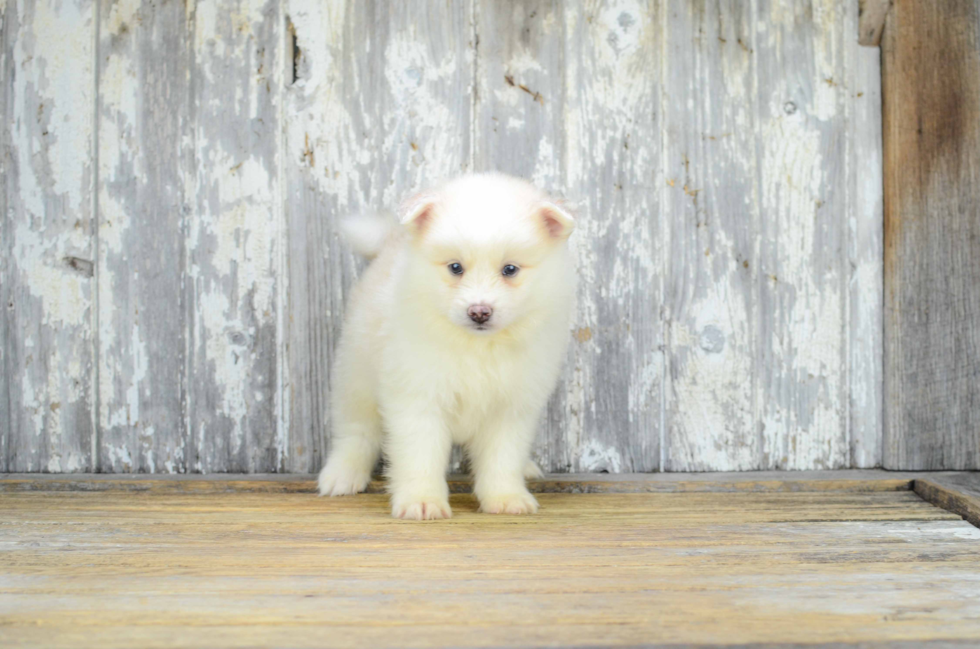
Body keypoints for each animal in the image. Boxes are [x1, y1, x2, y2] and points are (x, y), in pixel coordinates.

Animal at [316, 171, 576, 516]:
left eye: (510, 269)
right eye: (455, 267)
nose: (479, 311)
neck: (477, 346)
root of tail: (390, 242)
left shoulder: (511, 407)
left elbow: (502, 458)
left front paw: (506, 497)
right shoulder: (418, 397)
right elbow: (420, 456)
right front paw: (422, 501)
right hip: (355, 376)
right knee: (355, 432)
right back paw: (342, 474)